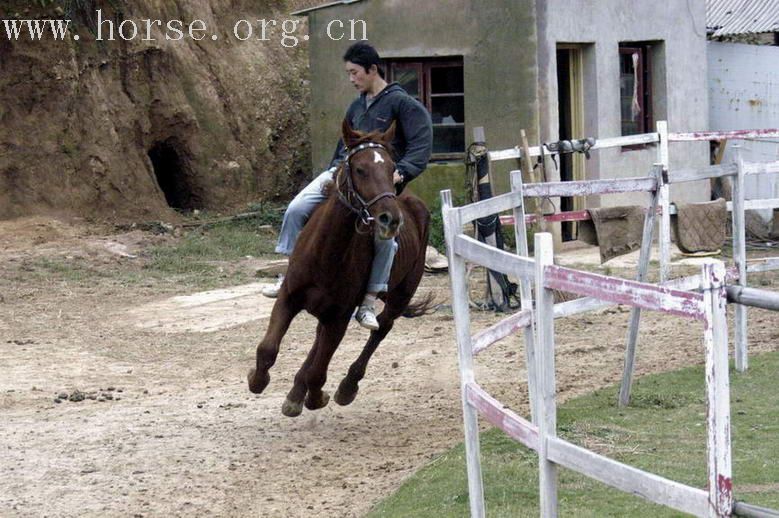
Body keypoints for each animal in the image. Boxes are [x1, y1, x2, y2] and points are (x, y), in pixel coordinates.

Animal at [248, 119, 432, 418]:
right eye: (360, 169)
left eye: (391, 168)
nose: (391, 219)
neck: (326, 254)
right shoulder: (289, 298)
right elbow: (267, 349)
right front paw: (257, 380)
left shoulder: (340, 316)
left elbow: (319, 370)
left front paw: (315, 396)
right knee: (318, 339)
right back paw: (297, 391)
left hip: (401, 295)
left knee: (381, 328)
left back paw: (346, 386)